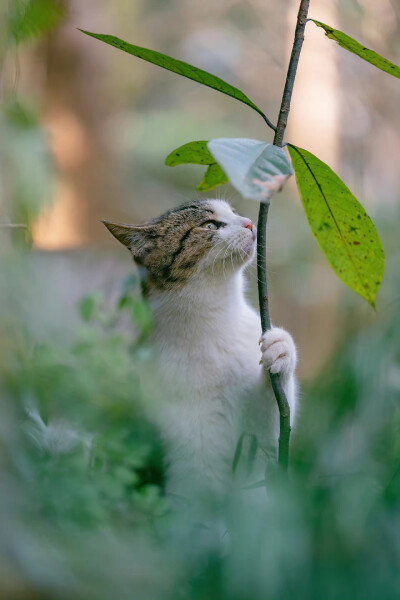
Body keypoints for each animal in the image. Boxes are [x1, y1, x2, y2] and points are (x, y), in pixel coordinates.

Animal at [103, 199, 296, 504]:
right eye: (209, 226)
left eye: (232, 212)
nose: (249, 223)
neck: (213, 326)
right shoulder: (190, 458)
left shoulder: (259, 442)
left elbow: (275, 424)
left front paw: (280, 349)